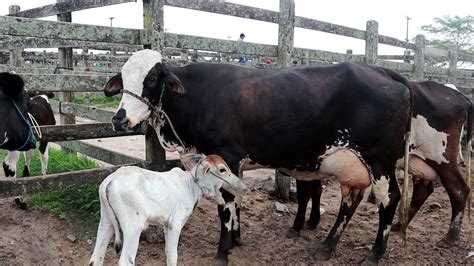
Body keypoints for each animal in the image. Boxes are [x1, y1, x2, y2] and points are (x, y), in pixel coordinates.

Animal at [89, 154, 246, 266]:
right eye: (222, 170)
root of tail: (110, 181)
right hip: (133, 227)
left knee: (95, 259)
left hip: (106, 222)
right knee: (126, 261)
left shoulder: (165, 225)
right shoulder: (174, 225)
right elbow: (172, 256)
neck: (190, 186)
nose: (242, 185)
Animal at [104, 49, 414, 262]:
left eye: (152, 78)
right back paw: (326, 246)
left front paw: (223, 251)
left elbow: (225, 206)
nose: (119, 119)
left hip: (379, 162)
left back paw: (374, 253)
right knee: (349, 203)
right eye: (123, 77)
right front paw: (237, 238)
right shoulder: (231, 165)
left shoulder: (227, 156)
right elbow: (237, 200)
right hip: (352, 167)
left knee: (390, 199)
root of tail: (384, 72)